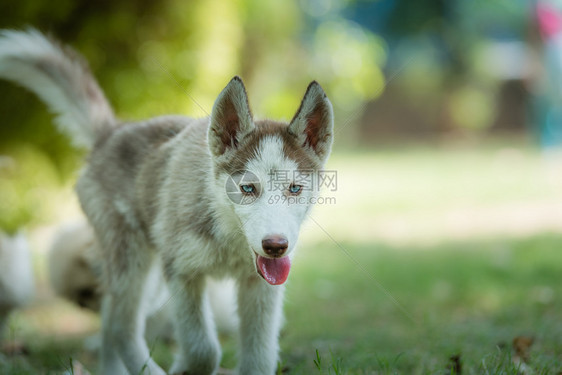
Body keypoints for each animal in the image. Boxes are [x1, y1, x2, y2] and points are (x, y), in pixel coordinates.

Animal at [0, 30, 332, 375]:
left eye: (295, 188)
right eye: (247, 188)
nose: (275, 246)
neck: (229, 236)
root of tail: (112, 131)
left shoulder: (260, 287)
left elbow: (260, 357)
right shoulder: (181, 273)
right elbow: (203, 348)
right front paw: (185, 368)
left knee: (109, 321)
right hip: (132, 260)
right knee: (121, 326)